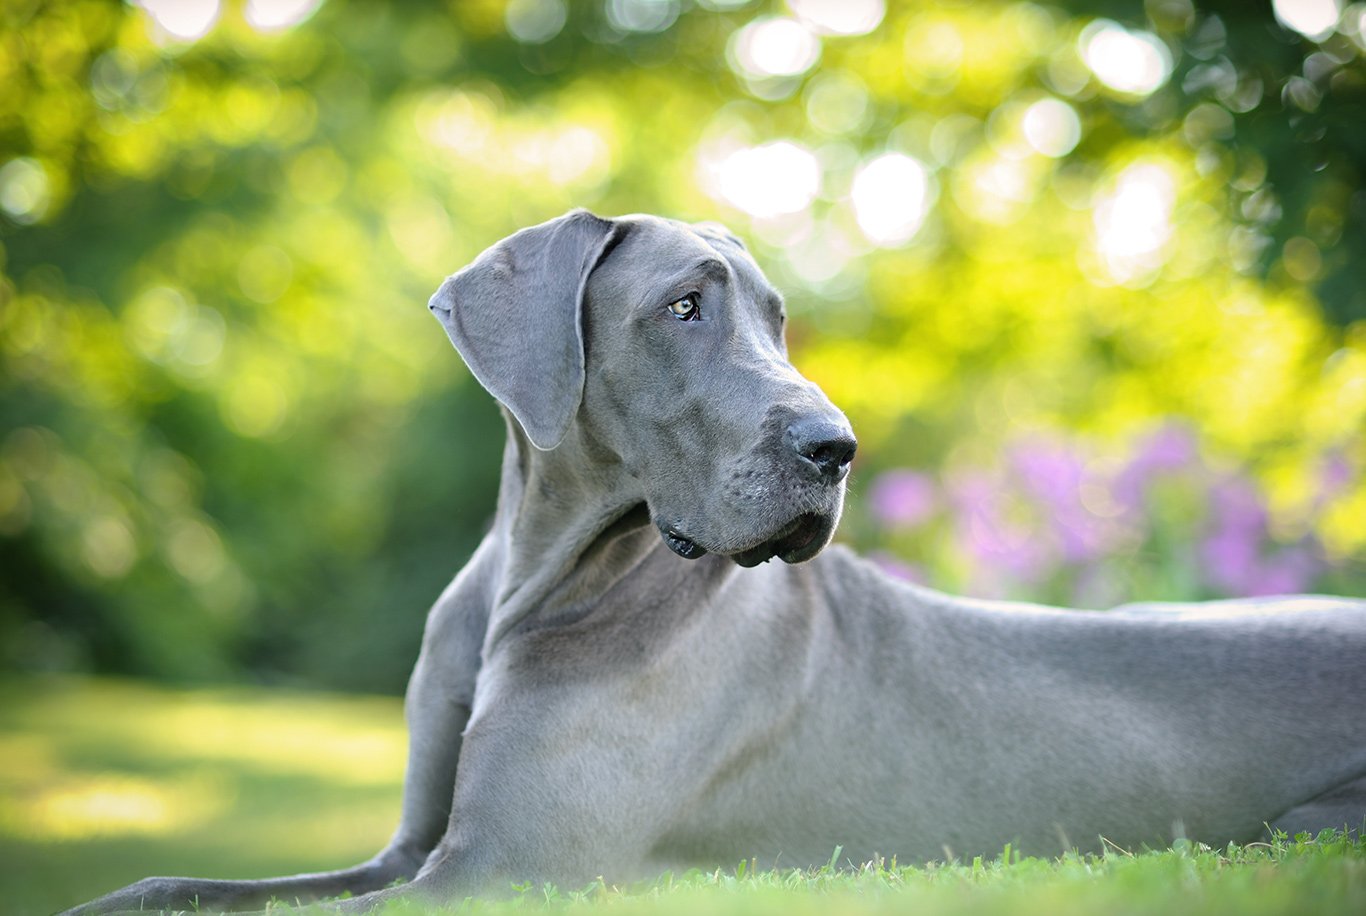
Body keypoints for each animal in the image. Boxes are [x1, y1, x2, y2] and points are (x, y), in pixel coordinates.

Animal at [66, 211, 1366, 911]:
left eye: (777, 317)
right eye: (684, 307)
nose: (836, 447)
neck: (539, 580)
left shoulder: (491, 872)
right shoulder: (412, 849)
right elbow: (191, 890)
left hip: (1295, 829)